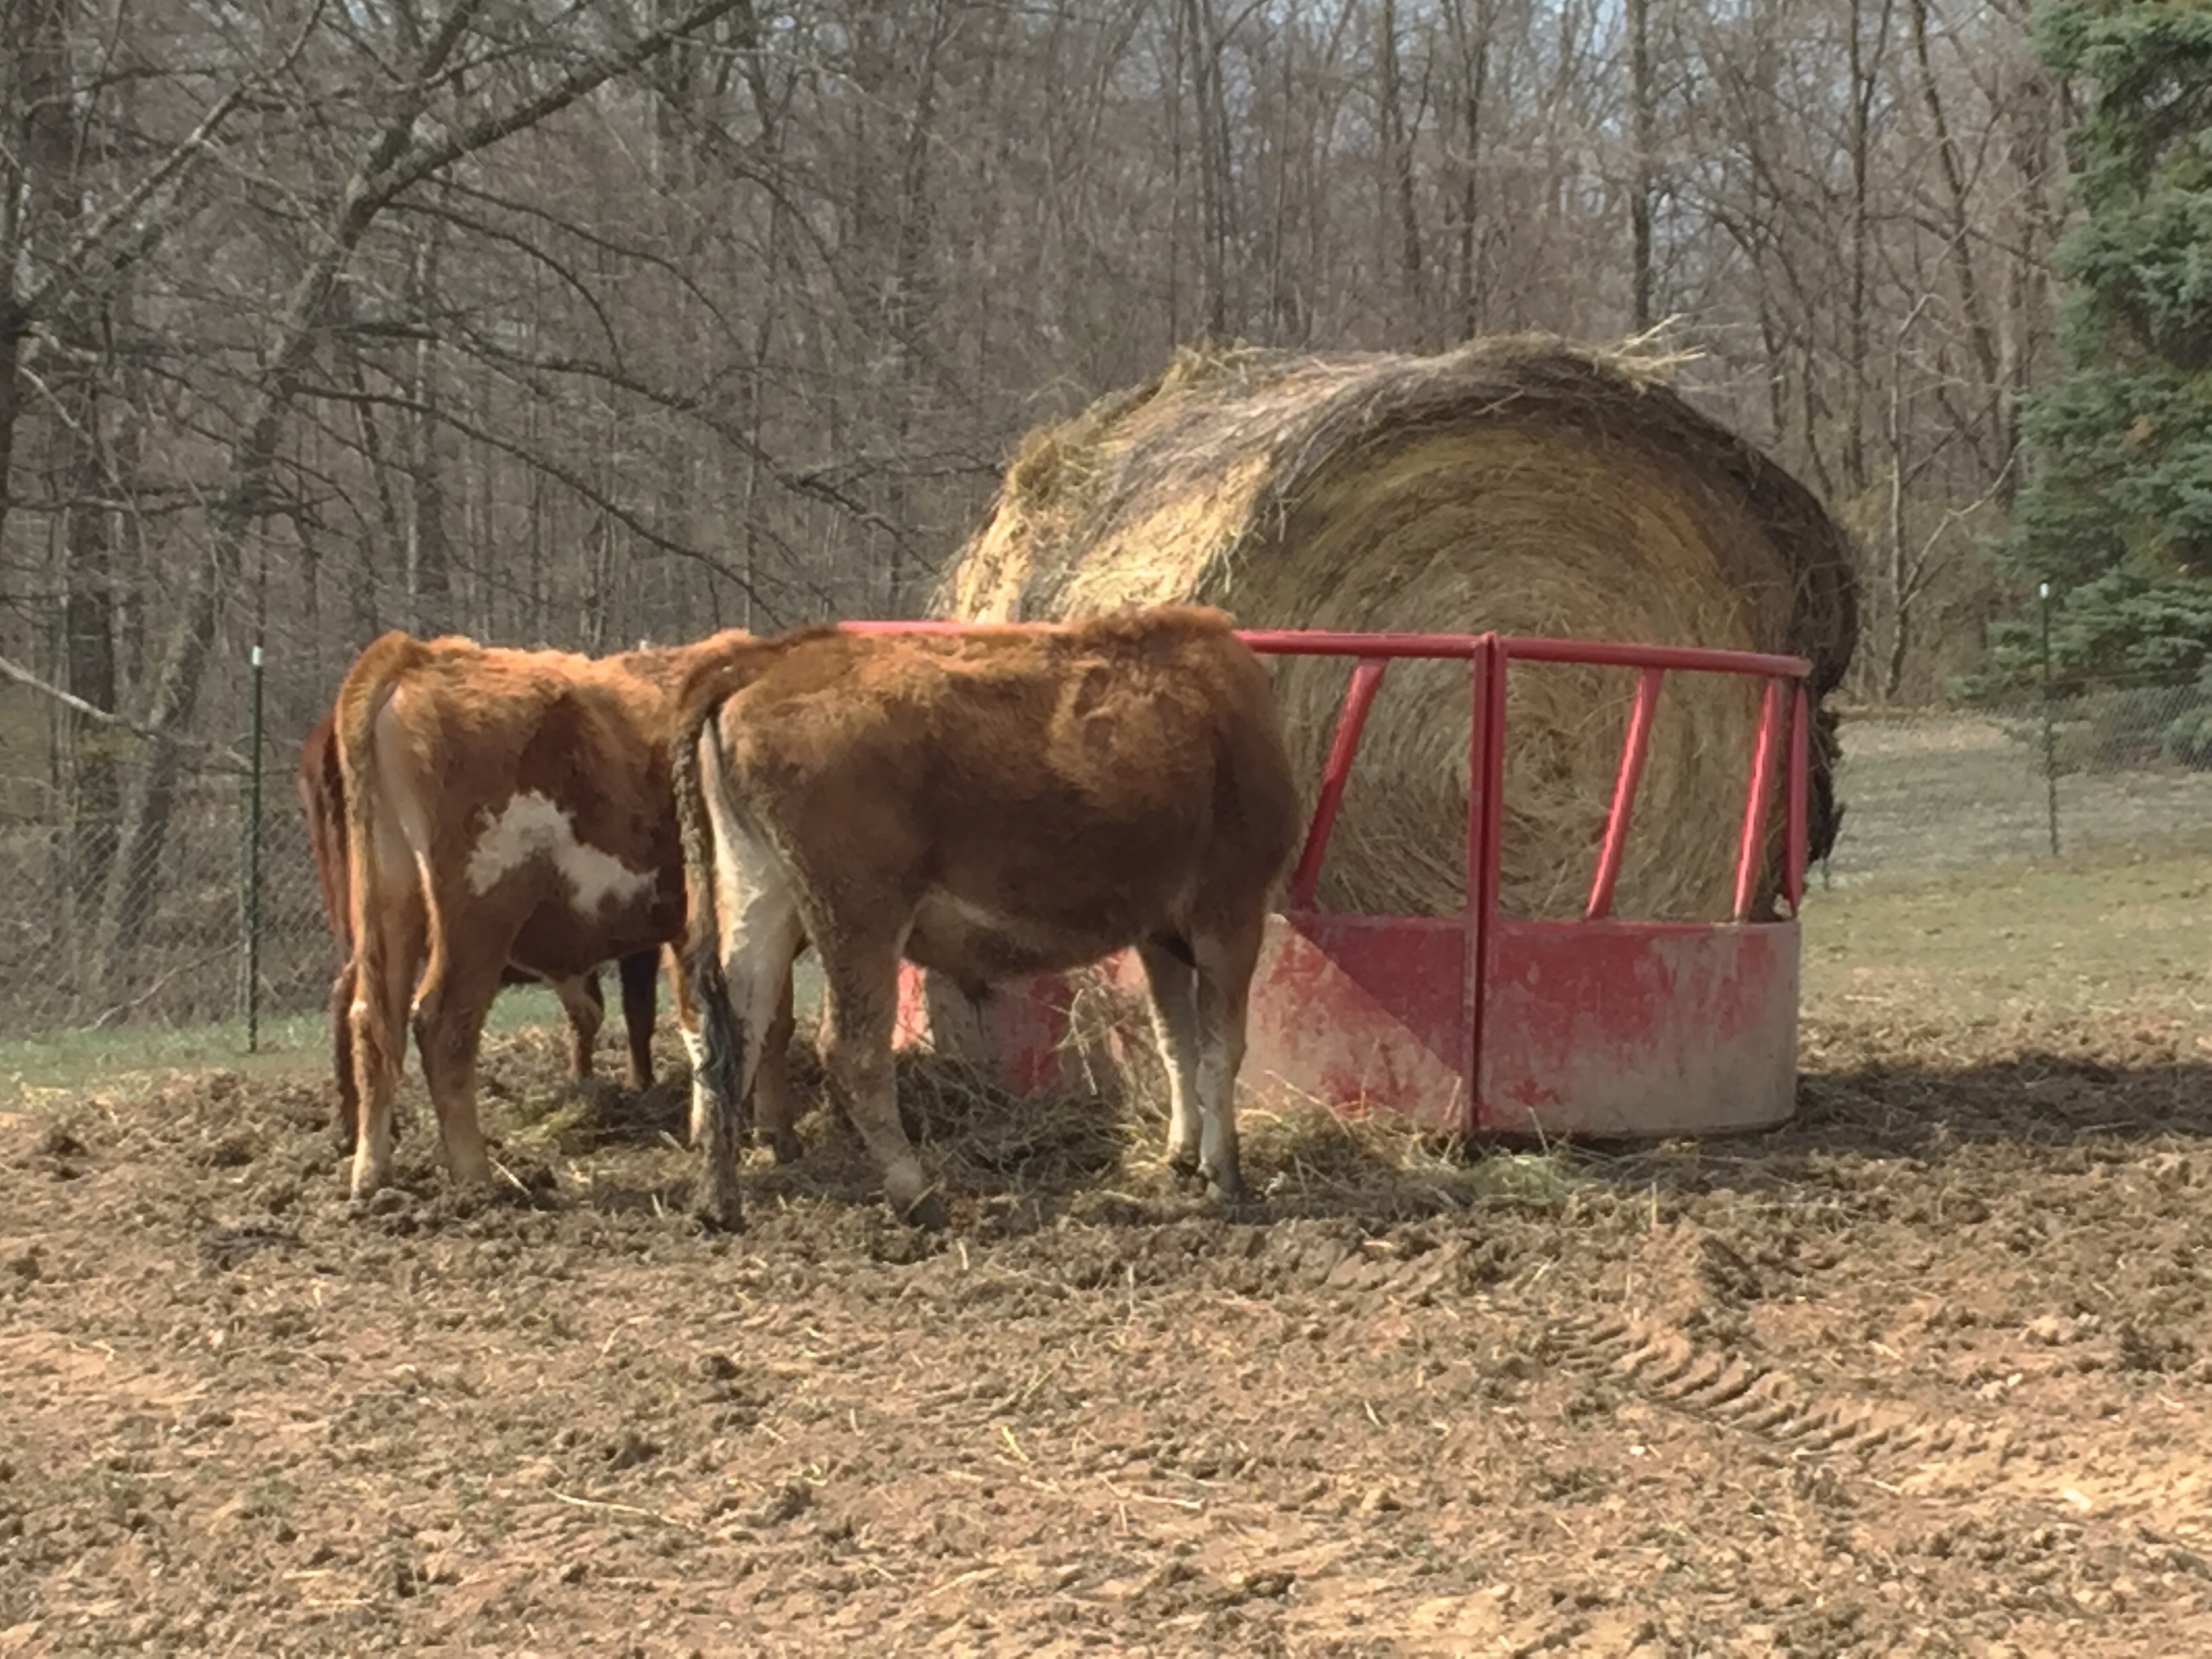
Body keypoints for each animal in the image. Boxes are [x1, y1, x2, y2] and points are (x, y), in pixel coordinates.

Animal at [335, 630, 799, 1204]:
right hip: (480, 910)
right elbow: (767, 1020)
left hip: (392, 901)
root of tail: (416, 655)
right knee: (443, 1024)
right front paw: (775, 1135)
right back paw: (478, 1179)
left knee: (371, 1022)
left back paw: (371, 1175)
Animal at [670, 605, 1303, 1233]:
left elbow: (1178, 1044)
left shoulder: (1159, 936)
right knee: (852, 1053)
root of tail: (769, 660)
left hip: (759, 893)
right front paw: (1226, 1178)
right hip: (859, 916)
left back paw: (718, 1203)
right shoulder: (1231, 913)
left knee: (735, 1038)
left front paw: (1184, 1158)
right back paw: (918, 1196)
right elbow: (1222, 1050)